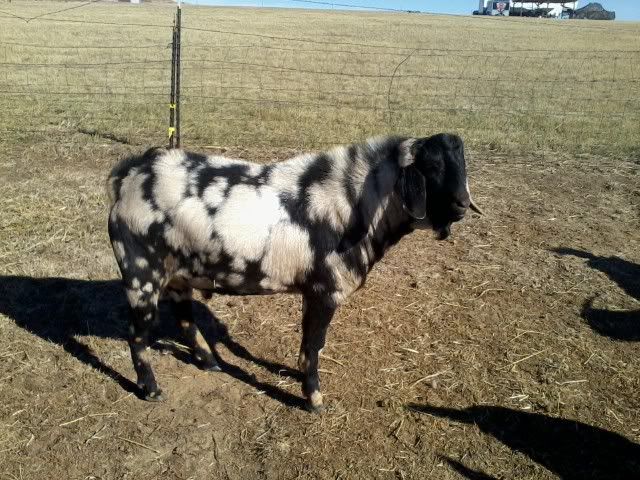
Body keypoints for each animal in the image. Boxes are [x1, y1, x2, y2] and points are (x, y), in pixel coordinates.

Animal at [106, 133, 482, 411]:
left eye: (462, 164)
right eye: (432, 165)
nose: (463, 204)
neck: (350, 205)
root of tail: (129, 174)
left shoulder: (311, 292)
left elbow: (309, 344)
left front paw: (298, 376)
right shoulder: (326, 291)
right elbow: (315, 344)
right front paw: (314, 399)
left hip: (177, 275)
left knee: (184, 318)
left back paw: (209, 362)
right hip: (141, 274)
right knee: (137, 334)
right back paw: (151, 389)